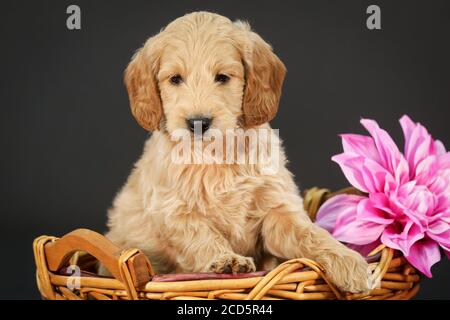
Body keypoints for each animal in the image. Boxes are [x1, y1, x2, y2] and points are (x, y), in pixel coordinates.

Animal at [103, 11, 370, 292]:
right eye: (175, 79)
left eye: (222, 77)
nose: (197, 122)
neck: (214, 154)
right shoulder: (172, 210)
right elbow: (201, 234)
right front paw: (225, 259)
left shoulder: (277, 209)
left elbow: (310, 233)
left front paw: (347, 259)